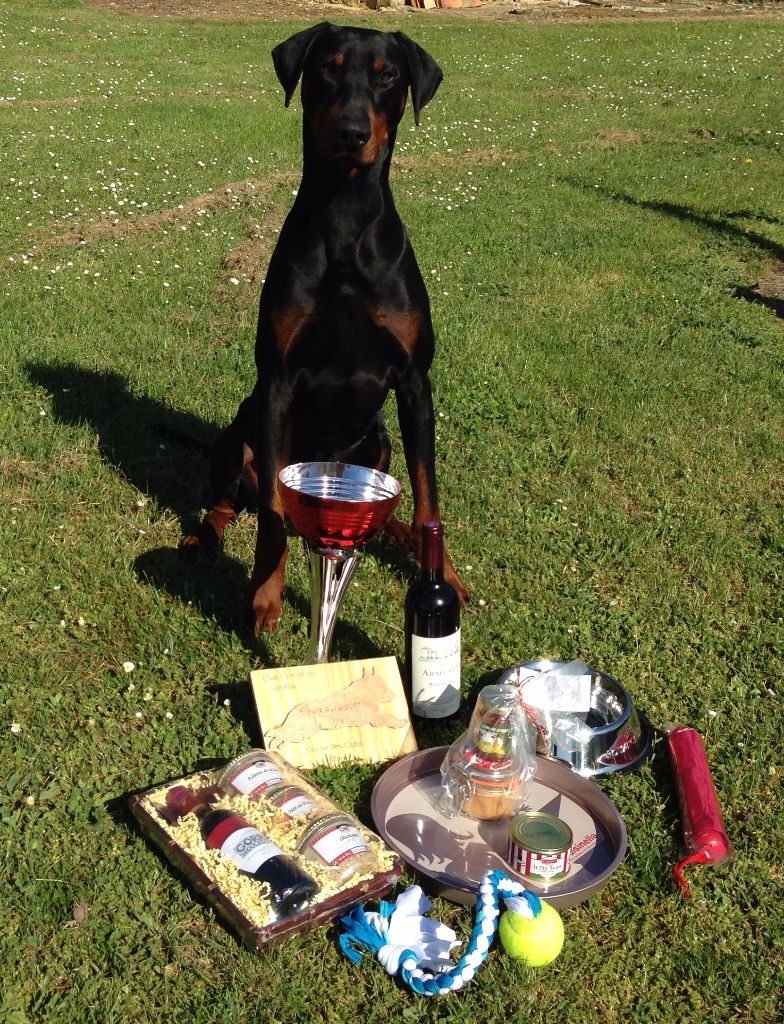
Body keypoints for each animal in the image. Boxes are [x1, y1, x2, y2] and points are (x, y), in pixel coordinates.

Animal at [182, 23, 469, 635]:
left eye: (388, 74)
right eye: (326, 68)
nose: (351, 132)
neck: (345, 218)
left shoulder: (415, 381)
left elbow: (428, 495)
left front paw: (444, 577)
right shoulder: (277, 382)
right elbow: (270, 512)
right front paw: (264, 595)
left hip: (378, 439)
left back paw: (397, 533)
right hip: (239, 431)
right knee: (226, 502)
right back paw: (202, 538)